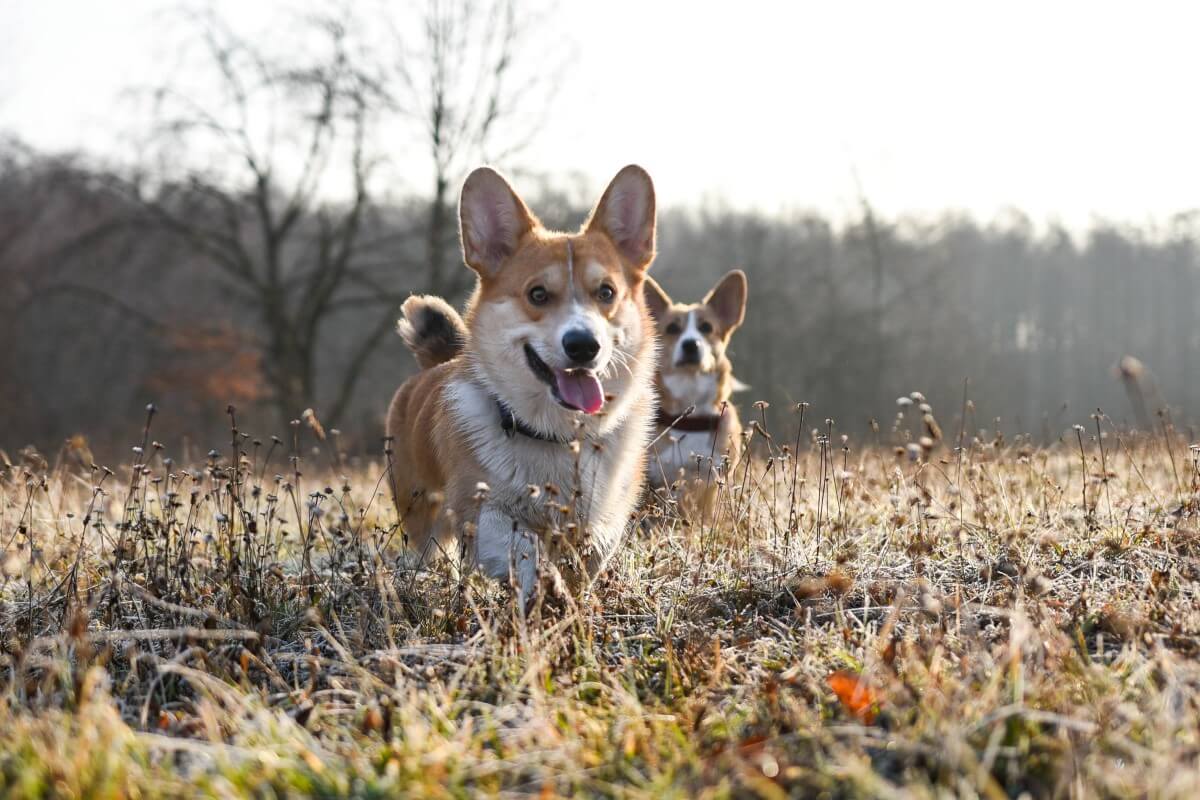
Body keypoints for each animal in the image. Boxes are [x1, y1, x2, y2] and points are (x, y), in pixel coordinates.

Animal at [386, 163, 657, 604]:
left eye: (606, 292)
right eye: (538, 294)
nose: (584, 345)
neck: (555, 436)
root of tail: (437, 363)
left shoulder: (607, 513)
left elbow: (593, 550)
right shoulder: (483, 510)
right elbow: (522, 547)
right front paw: (547, 589)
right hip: (420, 514)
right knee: (430, 552)